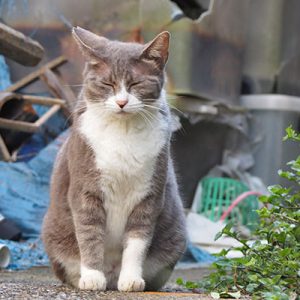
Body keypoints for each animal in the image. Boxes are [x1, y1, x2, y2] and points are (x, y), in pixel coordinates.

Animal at [41, 27, 188, 290]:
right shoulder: (85, 188)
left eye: (136, 83)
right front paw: (91, 277)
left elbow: (137, 241)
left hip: (176, 237)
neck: (123, 131)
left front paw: (131, 280)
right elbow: (89, 233)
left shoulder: (149, 194)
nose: (121, 102)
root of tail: (111, 274)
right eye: (107, 83)